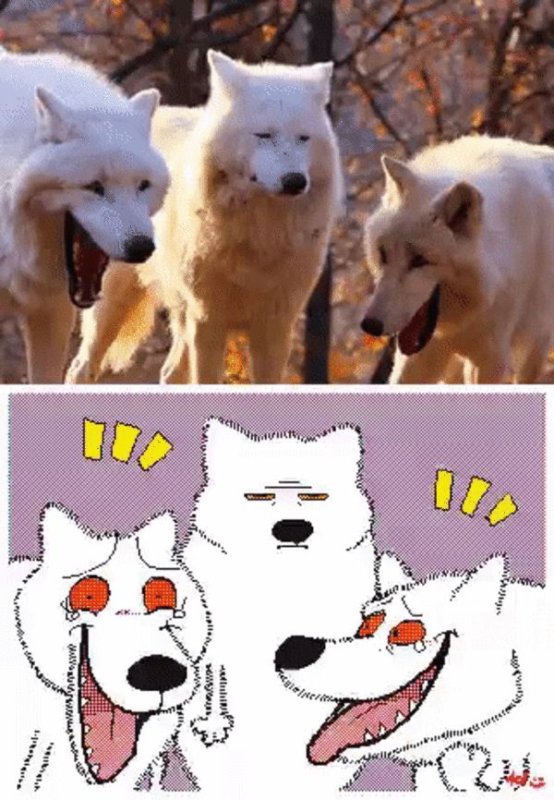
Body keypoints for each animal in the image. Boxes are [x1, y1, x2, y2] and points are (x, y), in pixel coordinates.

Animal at [67, 49, 343, 385]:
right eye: (264, 135)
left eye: (303, 138)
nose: (295, 181)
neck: (260, 234)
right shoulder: (208, 318)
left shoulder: (276, 326)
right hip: (113, 302)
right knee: (81, 367)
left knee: (169, 372)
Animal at [361, 135, 554, 384]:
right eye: (383, 254)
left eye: (419, 260)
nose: (370, 325)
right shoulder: (421, 354)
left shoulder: (490, 360)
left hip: (534, 347)